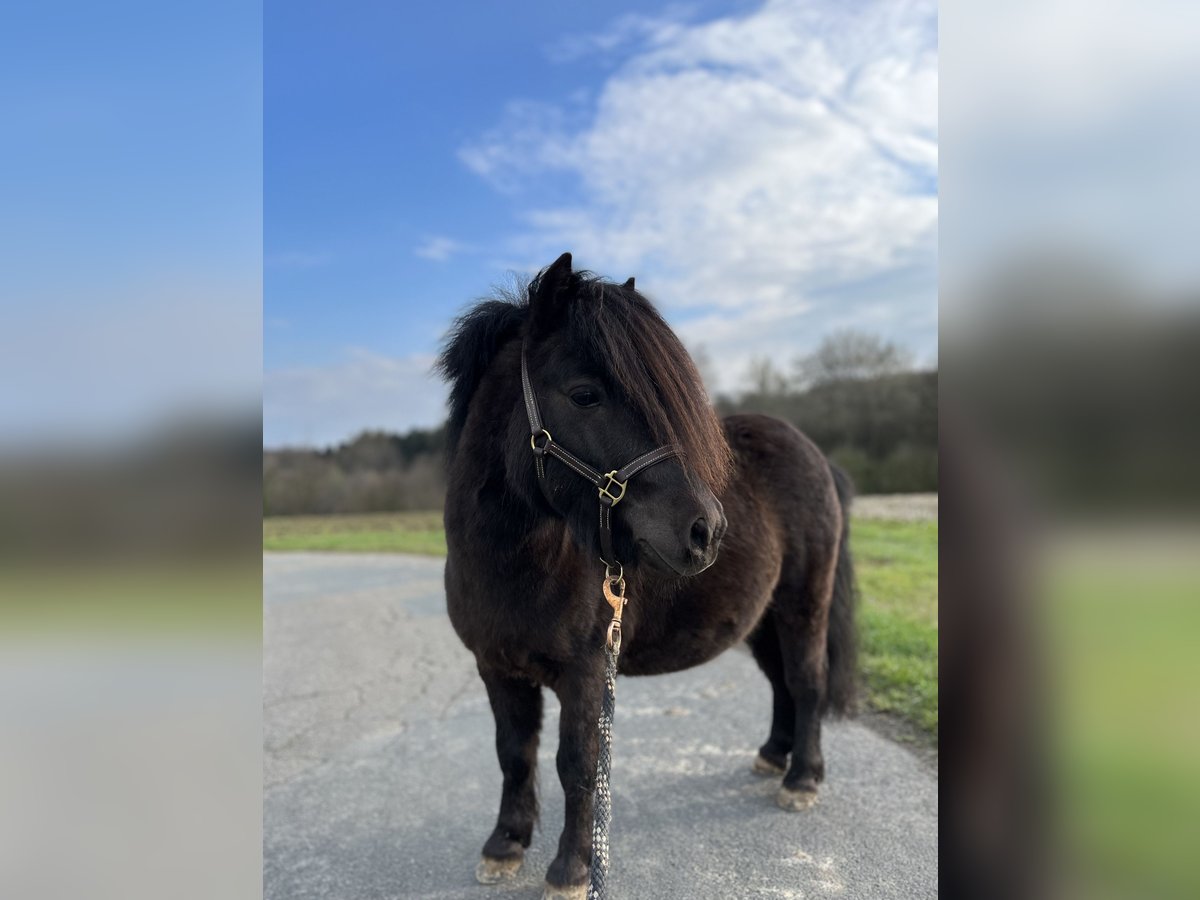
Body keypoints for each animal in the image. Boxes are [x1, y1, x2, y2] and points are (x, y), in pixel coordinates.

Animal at [436, 255, 859, 900]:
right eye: (584, 394)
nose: (707, 529)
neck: (514, 566)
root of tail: (814, 454)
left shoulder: (586, 673)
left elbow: (578, 765)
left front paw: (571, 870)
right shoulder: (496, 667)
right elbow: (514, 753)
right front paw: (505, 845)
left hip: (801, 605)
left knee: (807, 680)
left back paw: (802, 781)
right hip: (761, 619)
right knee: (782, 683)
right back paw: (773, 756)